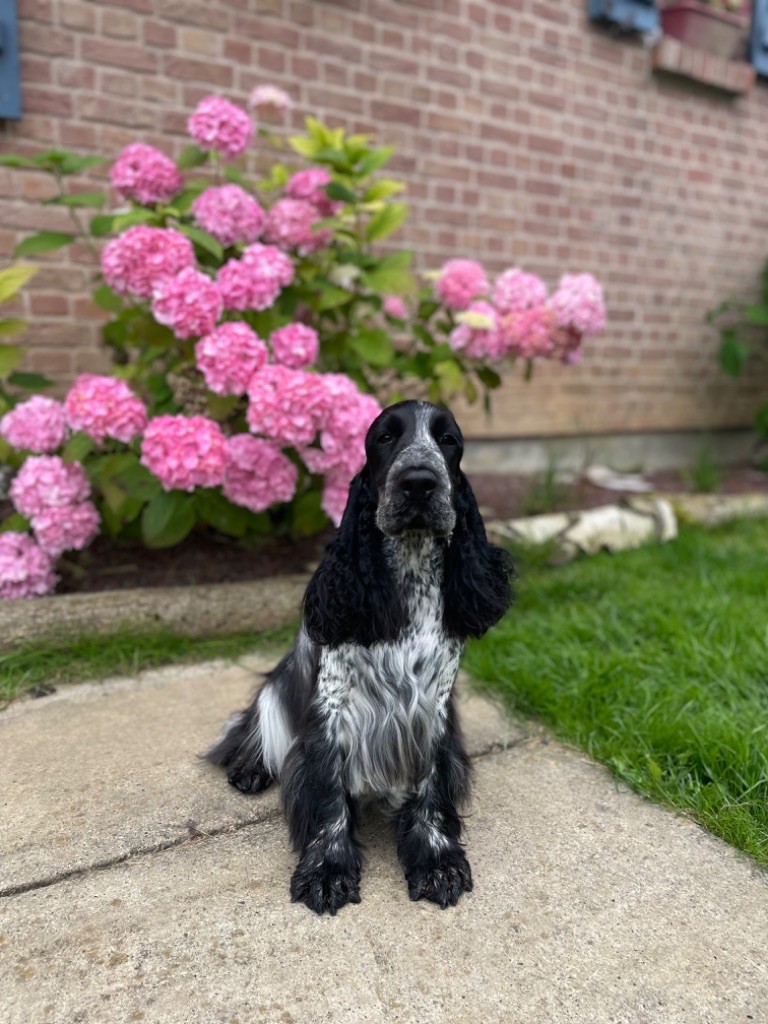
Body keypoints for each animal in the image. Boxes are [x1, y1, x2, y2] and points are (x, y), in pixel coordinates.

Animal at [207, 397, 514, 913]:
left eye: (448, 440)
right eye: (385, 438)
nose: (419, 481)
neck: (410, 573)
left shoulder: (432, 711)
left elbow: (431, 788)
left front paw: (437, 862)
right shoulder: (331, 712)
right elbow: (328, 791)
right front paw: (327, 871)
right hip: (279, 687)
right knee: (248, 726)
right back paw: (248, 768)